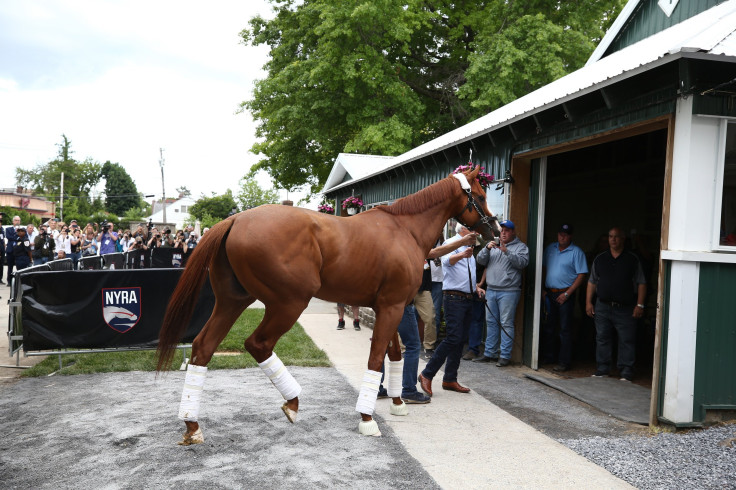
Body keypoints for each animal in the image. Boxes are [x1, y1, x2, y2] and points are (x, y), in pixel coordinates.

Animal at [158, 166, 498, 444]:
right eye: (481, 196)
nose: (494, 230)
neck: (405, 230)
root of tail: (236, 218)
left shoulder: (392, 307)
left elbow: (394, 354)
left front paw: (398, 403)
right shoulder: (391, 306)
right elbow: (376, 359)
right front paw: (367, 418)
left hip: (232, 302)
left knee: (203, 346)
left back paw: (192, 424)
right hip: (288, 303)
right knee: (258, 343)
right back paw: (292, 401)